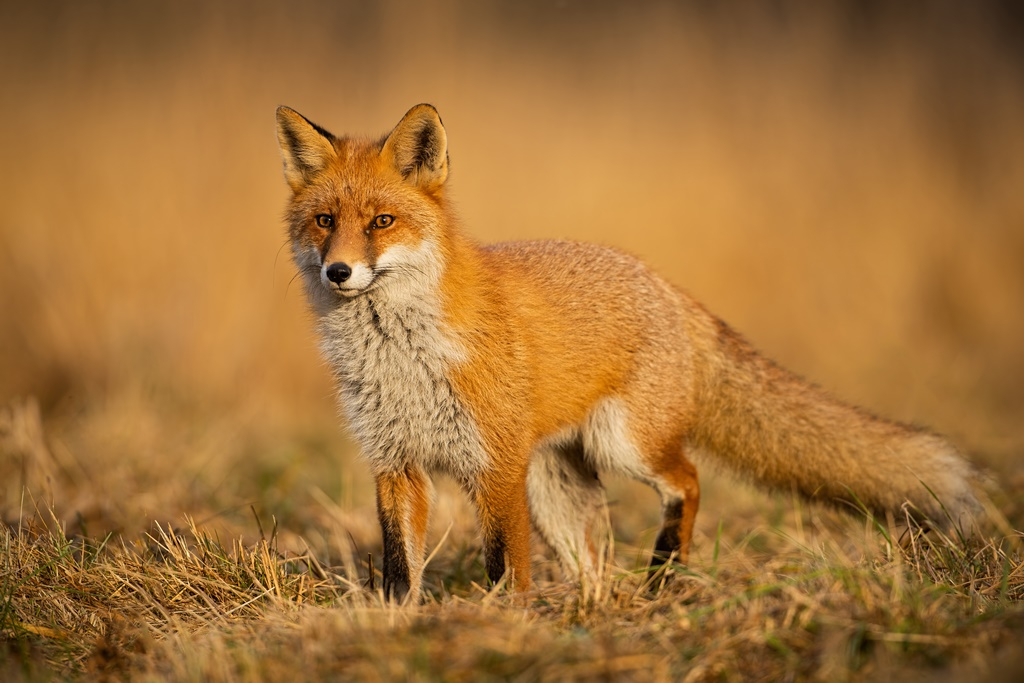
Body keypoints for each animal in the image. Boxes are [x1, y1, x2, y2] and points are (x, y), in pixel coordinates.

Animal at [278, 104, 974, 602]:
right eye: (324, 221)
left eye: (382, 222)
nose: (339, 272)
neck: (401, 359)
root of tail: (665, 284)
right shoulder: (394, 462)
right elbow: (401, 570)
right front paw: (399, 625)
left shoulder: (496, 466)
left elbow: (507, 567)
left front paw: (507, 623)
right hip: (557, 486)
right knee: (594, 561)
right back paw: (596, 612)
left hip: (623, 445)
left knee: (688, 481)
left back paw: (663, 578)